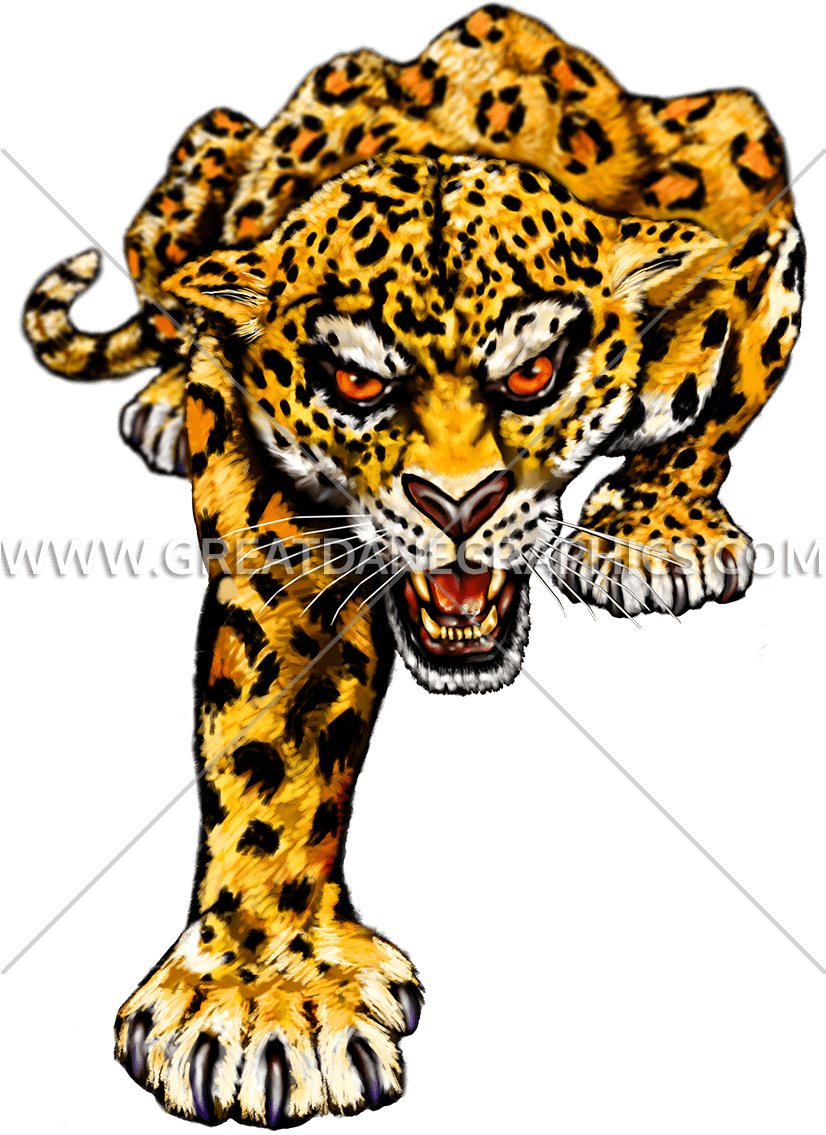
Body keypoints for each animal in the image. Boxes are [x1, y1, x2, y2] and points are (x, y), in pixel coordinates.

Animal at [19, 5, 803, 1127]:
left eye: (533, 374)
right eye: (356, 384)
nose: (456, 504)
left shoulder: (748, 183)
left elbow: (726, 375)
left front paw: (659, 532)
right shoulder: (284, 537)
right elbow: (271, 747)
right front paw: (260, 998)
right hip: (194, 169)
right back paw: (167, 399)